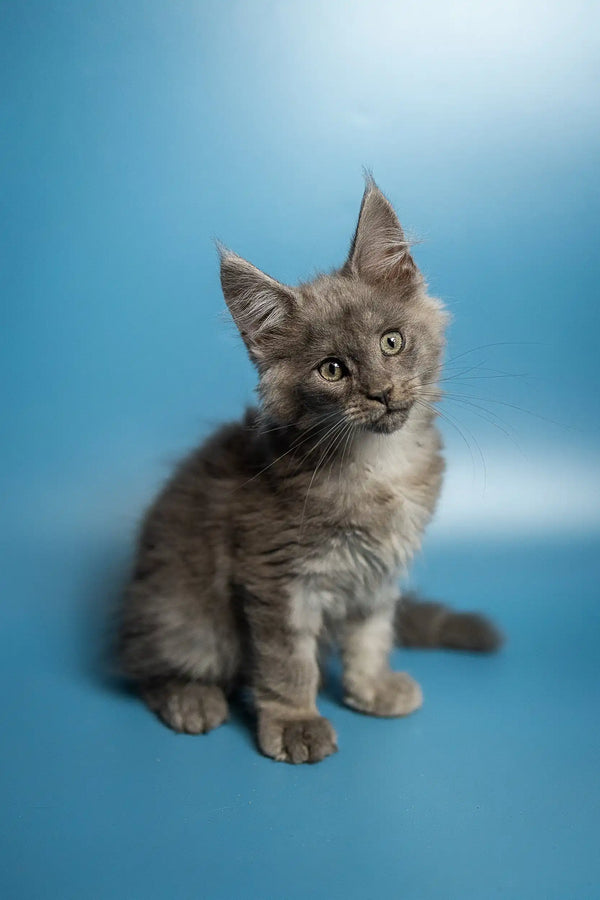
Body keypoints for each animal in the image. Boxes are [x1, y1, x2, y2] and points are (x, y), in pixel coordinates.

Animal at [118, 179, 502, 764]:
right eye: (332, 370)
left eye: (392, 341)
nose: (381, 393)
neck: (377, 463)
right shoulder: (275, 573)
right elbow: (287, 661)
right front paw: (296, 721)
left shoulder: (378, 571)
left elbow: (370, 636)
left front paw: (372, 688)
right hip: (186, 614)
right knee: (149, 664)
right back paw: (192, 698)